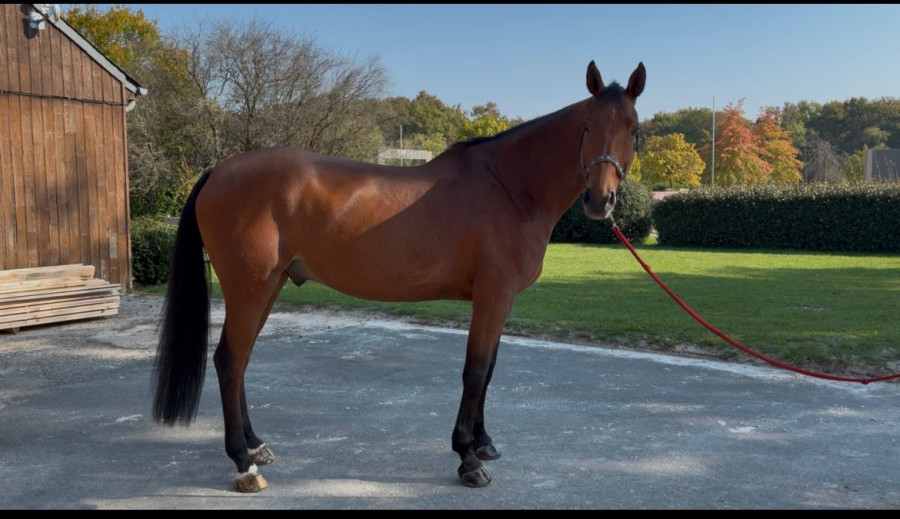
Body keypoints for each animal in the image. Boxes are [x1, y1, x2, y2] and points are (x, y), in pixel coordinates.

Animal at [152, 60, 645, 492]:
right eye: (587, 127)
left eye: (633, 130)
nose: (600, 200)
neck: (509, 187)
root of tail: (219, 170)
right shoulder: (492, 296)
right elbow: (475, 372)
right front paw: (467, 458)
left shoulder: (501, 301)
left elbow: (489, 372)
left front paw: (483, 442)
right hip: (249, 288)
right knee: (229, 361)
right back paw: (243, 464)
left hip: (268, 287)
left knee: (239, 361)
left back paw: (256, 447)